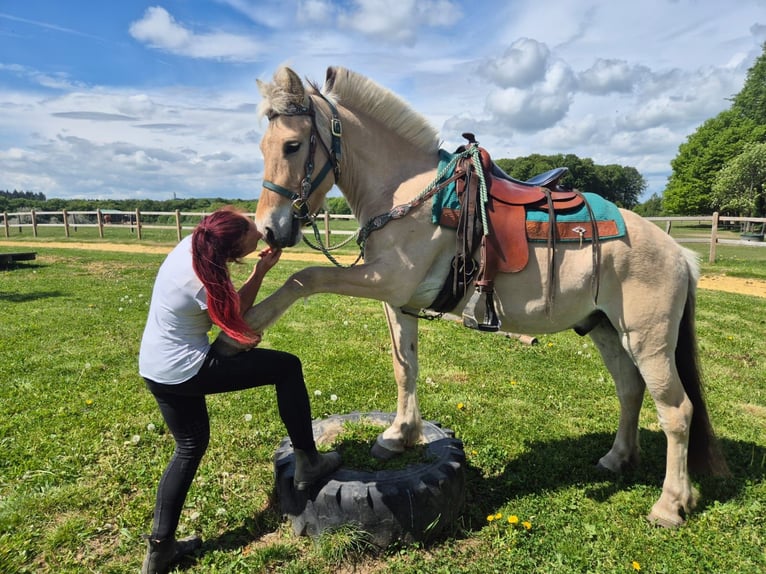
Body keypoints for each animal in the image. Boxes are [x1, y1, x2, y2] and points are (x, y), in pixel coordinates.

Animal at [213, 65, 728, 527]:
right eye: (263, 147)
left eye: (293, 144)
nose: (268, 229)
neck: (407, 195)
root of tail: (680, 254)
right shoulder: (397, 300)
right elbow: (405, 367)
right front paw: (399, 435)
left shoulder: (384, 280)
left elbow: (305, 279)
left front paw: (238, 332)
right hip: (606, 330)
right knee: (630, 390)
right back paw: (617, 459)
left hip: (649, 340)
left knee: (677, 412)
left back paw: (670, 506)